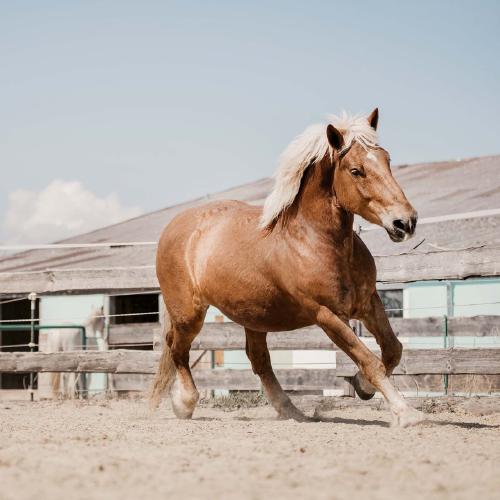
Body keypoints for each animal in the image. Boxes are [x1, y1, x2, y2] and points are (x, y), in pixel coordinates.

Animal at [151, 109, 424, 427]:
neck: (315, 240)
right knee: (177, 348)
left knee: (258, 360)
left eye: (386, 160)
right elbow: (368, 359)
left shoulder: (368, 302)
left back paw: (291, 411)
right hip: (189, 314)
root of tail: (176, 226)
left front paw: (362, 387)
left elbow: (392, 350)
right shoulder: (327, 314)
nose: (404, 222)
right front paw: (406, 413)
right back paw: (185, 403)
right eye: (356, 171)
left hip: (253, 317)